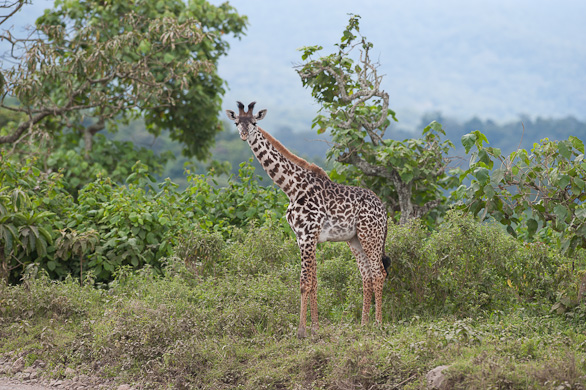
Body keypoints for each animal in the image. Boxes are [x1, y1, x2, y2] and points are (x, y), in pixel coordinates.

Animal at [226, 101, 390, 338]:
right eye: (237, 122)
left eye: (255, 122)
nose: (244, 135)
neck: (291, 188)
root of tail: (384, 211)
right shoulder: (303, 237)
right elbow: (314, 281)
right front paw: (315, 328)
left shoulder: (307, 235)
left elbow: (304, 282)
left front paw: (302, 330)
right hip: (355, 240)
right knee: (366, 275)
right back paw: (363, 324)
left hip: (371, 236)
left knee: (379, 273)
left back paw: (377, 324)